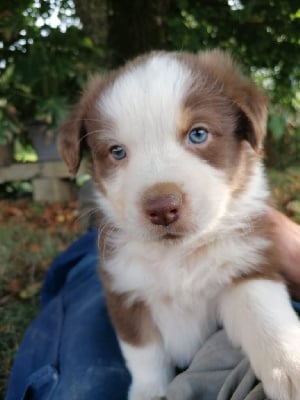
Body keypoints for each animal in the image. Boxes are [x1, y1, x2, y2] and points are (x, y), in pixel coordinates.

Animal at [58, 50, 300, 400]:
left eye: (198, 134)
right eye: (117, 151)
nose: (162, 208)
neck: (178, 256)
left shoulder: (250, 261)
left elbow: (263, 311)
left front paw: (290, 364)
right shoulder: (124, 290)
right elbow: (145, 354)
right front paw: (148, 392)